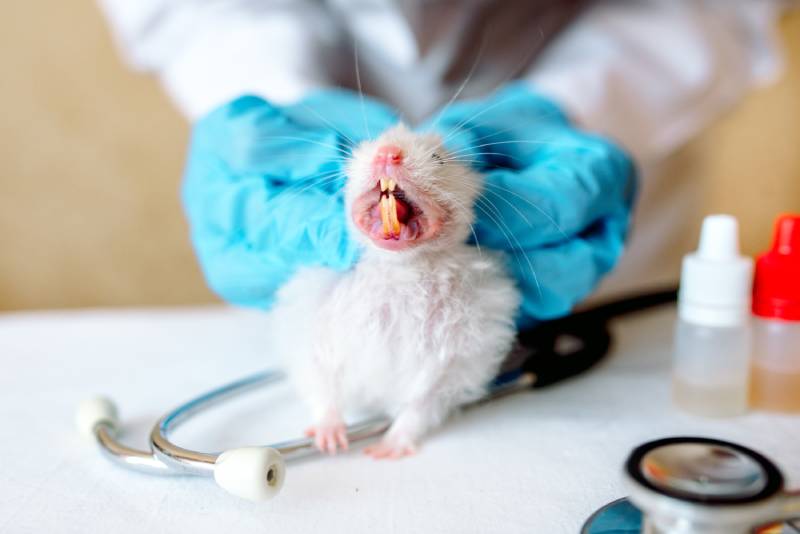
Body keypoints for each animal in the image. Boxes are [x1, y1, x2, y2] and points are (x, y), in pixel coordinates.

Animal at [269, 125, 520, 458]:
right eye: (366, 149)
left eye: (438, 158)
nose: (388, 153)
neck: (401, 267)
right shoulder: (312, 329)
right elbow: (323, 387)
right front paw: (330, 441)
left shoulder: (459, 360)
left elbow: (420, 406)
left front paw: (384, 451)